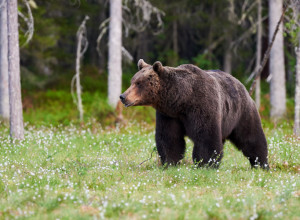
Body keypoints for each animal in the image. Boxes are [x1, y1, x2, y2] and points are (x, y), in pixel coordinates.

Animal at [120, 59, 270, 169]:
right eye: (132, 81)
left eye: (139, 83)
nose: (123, 96)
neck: (181, 100)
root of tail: (241, 84)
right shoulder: (169, 115)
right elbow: (169, 138)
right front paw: (170, 162)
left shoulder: (202, 106)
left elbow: (206, 138)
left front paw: (204, 164)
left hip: (241, 113)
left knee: (251, 137)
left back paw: (261, 164)